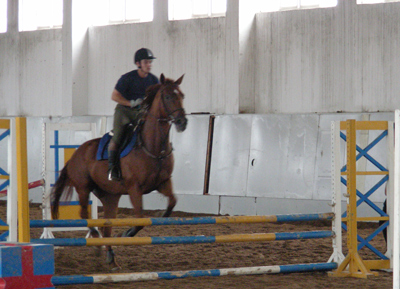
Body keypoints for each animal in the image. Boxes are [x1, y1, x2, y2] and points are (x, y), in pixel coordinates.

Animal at [50, 73, 188, 268]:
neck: (152, 147)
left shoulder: (163, 183)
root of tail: (77, 153)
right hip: (83, 188)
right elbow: (140, 219)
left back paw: (110, 256)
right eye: (168, 96)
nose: (182, 122)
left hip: (110, 196)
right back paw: (96, 241)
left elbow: (172, 203)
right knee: (85, 215)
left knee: (106, 225)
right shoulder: (134, 188)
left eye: (182, 96)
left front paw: (161, 214)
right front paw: (126, 233)